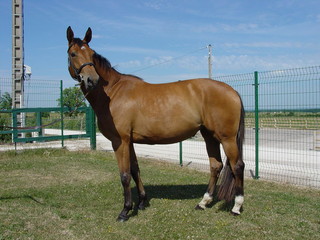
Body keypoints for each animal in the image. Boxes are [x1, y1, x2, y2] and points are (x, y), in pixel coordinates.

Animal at [65, 26, 245, 221]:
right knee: (215, 166)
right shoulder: (129, 141)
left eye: (91, 54)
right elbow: (135, 170)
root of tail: (232, 91)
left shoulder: (120, 141)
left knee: (237, 166)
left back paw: (237, 206)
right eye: (73, 53)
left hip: (227, 138)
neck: (113, 93)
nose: (92, 80)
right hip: (209, 136)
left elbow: (125, 175)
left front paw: (125, 210)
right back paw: (203, 203)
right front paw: (142, 202)